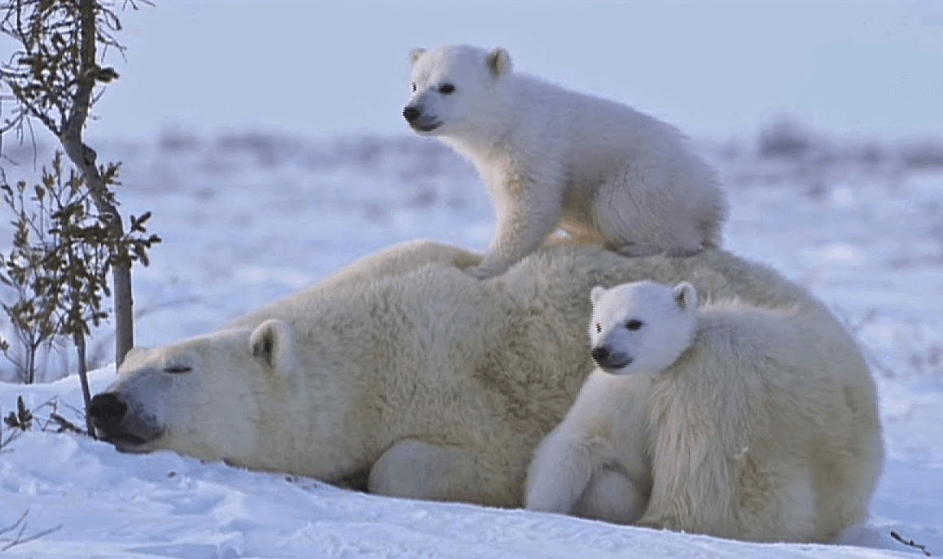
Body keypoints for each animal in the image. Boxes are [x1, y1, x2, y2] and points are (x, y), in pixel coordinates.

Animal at [402, 44, 728, 278]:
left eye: (447, 86)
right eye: (415, 84)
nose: (411, 111)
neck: (506, 118)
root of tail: (714, 201)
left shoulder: (533, 147)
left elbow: (529, 206)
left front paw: (480, 268)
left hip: (651, 180)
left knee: (620, 205)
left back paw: (636, 247)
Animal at [528, 282, 696, 528]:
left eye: (633, 323)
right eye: (598, 325)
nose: (600, 351)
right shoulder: (606, 407)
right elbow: (571, 448)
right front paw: (541, 509)